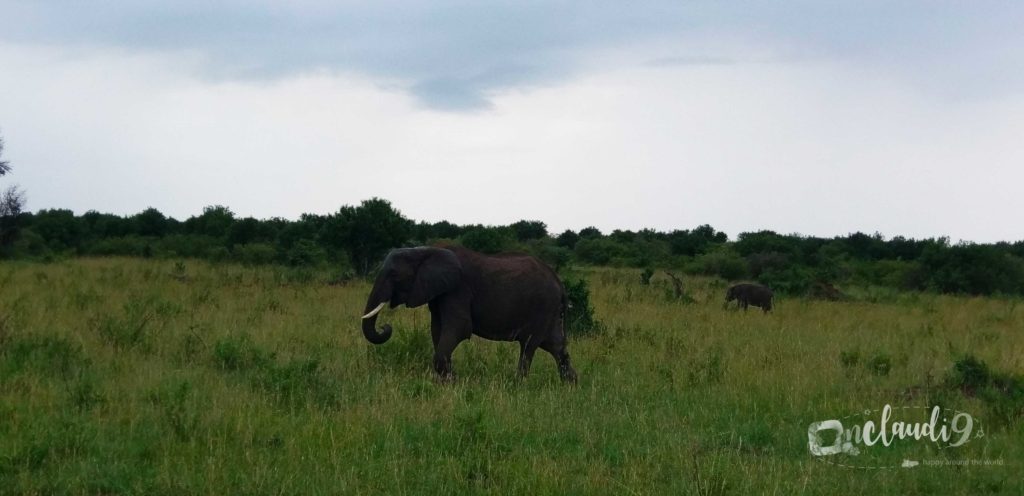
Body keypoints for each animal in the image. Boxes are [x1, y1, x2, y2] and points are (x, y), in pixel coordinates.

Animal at [358, 245, 577, 381]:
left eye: (394, 274)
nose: (385, 327)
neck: (425, 250)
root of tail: (559, 282)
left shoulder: (457, 290)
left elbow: (460, 328)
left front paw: (453, 381)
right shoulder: (438, 294)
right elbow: (437, 331)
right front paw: (448, 382)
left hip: (542, 306)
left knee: (529, 345)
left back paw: (518, 386)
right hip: (549, 311)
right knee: (555, 346)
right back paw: (571, 386)